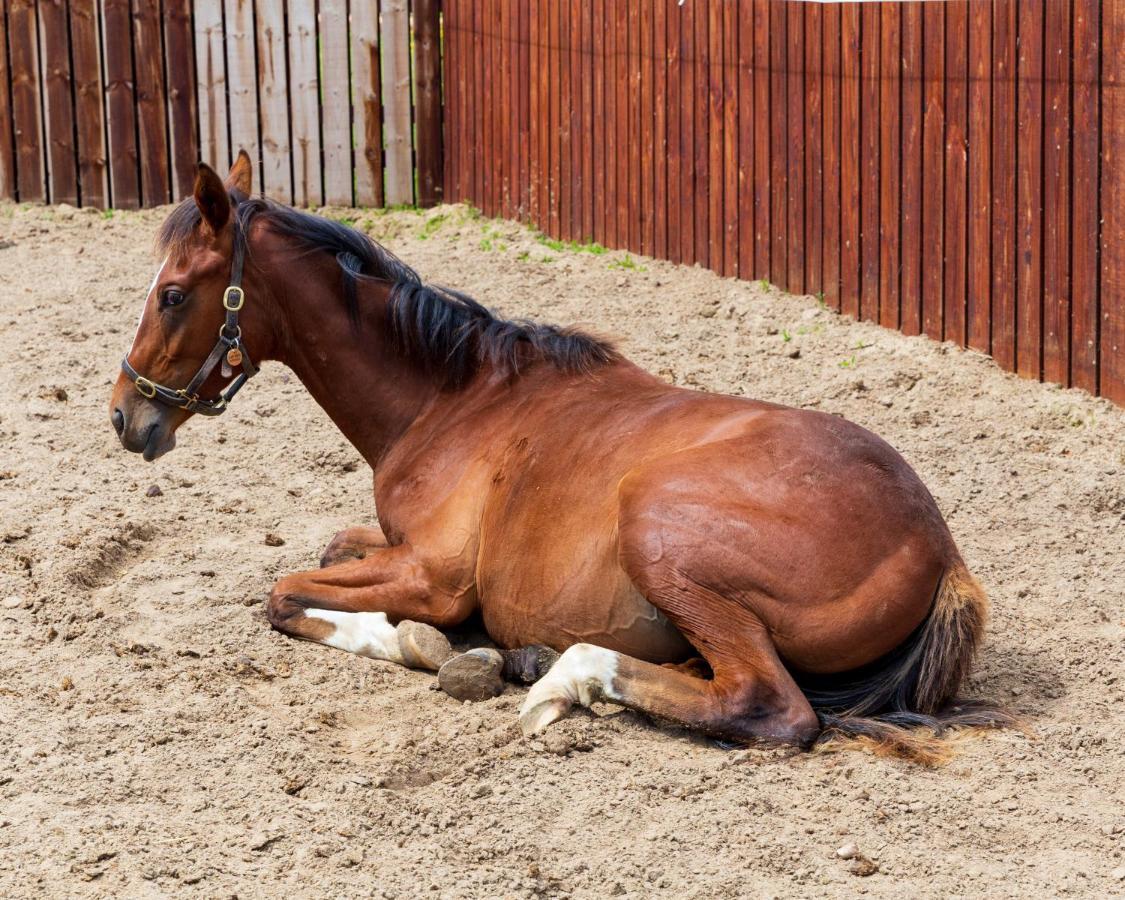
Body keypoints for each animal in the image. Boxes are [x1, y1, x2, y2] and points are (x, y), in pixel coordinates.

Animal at [107, 155, 1012, 760]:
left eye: (174, 293)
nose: (125, 415)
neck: (450, 401)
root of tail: (941, 552)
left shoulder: (433, 576)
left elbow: (287, 595)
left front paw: (430, 648)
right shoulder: (392, 545)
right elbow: (332, 546)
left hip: (659, 533)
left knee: (770, 706)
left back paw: (559, 679)